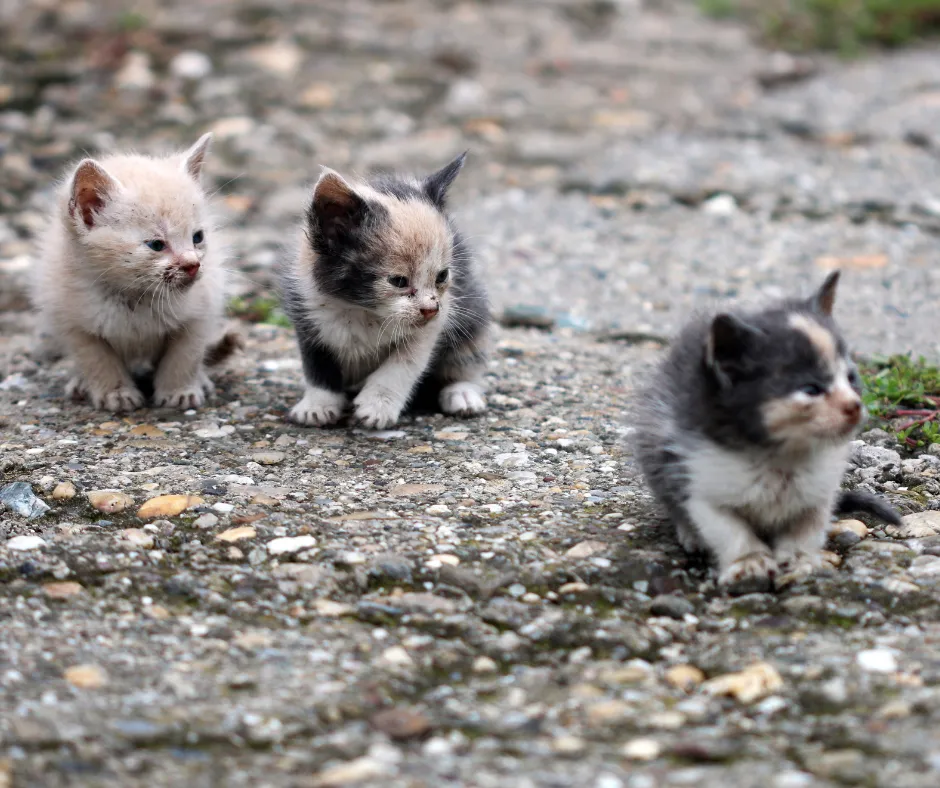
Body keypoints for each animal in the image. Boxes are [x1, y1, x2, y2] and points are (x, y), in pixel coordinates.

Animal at [280, 151, 492, 428]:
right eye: (399, 281)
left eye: (442, 276)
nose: (430, 309)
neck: (363, 311)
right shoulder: (306, 313)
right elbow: (318, 366)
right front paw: (318, 404)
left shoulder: (435, 324)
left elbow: (404, 364)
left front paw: (377, 405)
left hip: (473, 312)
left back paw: (462, 392)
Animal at [636, 274, 900, 596]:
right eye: (810, 389)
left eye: (850, 378)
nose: (854, 406)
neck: (781, 456)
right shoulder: (701, 480)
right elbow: (729, 529)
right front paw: (750, 563)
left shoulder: (819, 491)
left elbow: (807, 528)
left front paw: (800, 561)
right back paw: (691, 534)